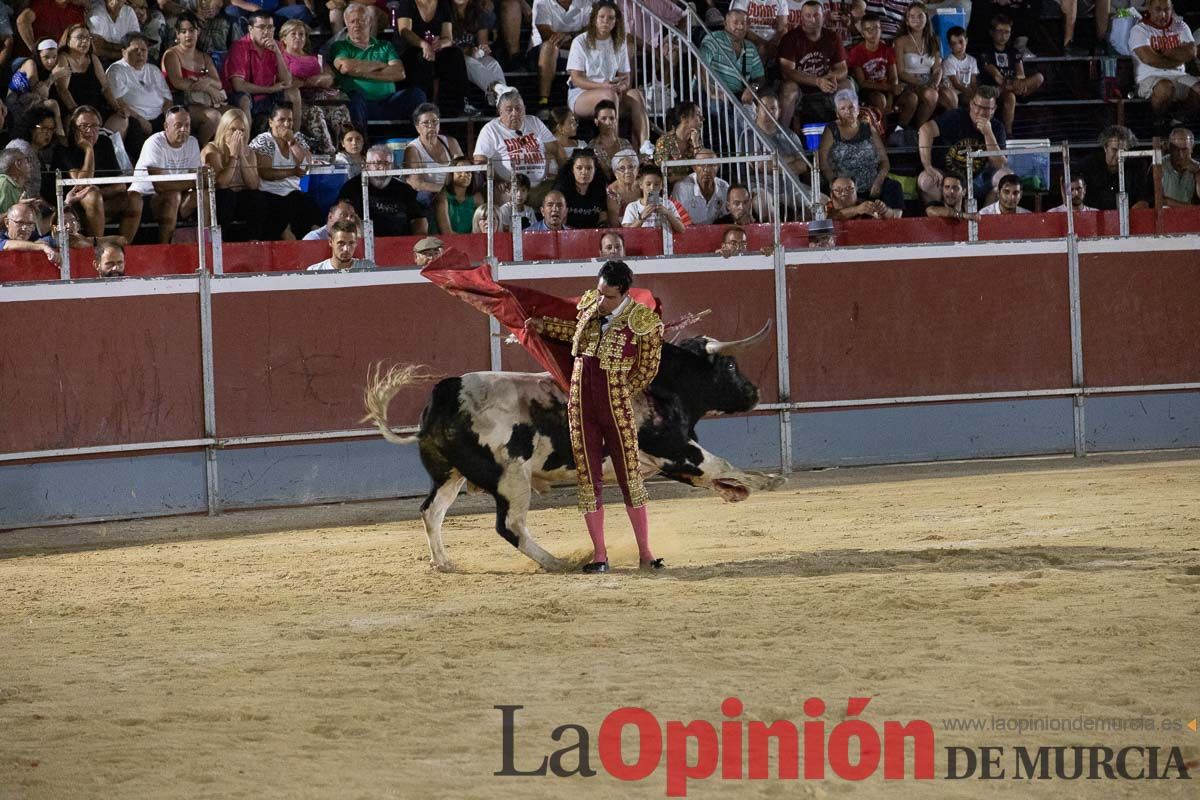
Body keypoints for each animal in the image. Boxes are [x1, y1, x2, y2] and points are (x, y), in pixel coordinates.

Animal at [360, 321, 782, 573]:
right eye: (729, 366)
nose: (755, 393)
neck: (663, 384)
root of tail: (445, 395)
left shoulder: (667, 459)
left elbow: (713, 474)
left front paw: (738, 490)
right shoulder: (675, 449)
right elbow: (719, 463)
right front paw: (768, 481)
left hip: (450, 474)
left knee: (432, 512)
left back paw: (444, 562)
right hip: (511, 478)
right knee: (510, 525)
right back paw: (556, 561)